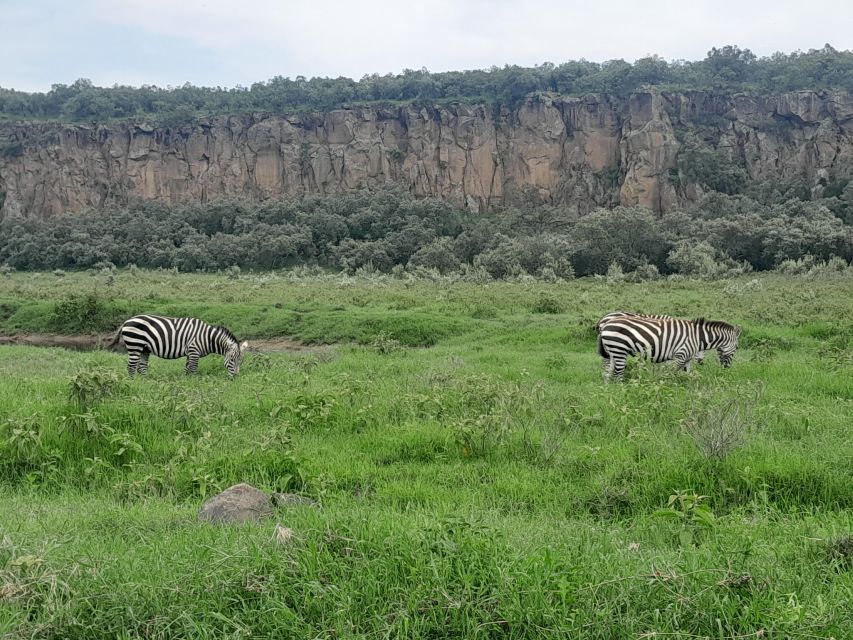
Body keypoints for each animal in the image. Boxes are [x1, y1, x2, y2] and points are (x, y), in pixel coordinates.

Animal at [111, 316, 248, 378]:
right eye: (232, 360)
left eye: (240, 362)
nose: (235, 377)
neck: (207, 338)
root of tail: (127, 321)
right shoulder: (194, 351)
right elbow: (193, 369)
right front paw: (194, 383)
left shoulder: (190, 352)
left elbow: (187, 369)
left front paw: (186, 382)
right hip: (135, 344)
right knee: (131, 367)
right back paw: (134, 382)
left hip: (145, 348)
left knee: (142, 367)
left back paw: (146, 382)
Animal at [596, 314, 744, 380]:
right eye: (737, 347)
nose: (727, 368)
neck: (697, 337)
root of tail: (606, 323)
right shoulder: (680, 355)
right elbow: (671, 374)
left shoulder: (687, 358)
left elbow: (687, 374)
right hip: (619, 349)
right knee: (618, 374)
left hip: (613, 352)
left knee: (608, 372)